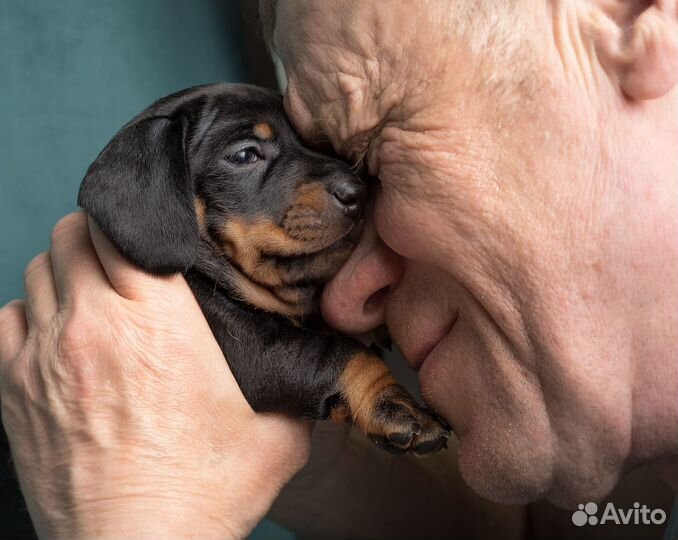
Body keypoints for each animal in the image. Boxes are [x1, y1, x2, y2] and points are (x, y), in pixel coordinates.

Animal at [78, 83, 452, 456]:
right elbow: (342, 351)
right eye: (244, 155)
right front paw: (396, 404)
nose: (358, 193)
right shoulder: (250, 349)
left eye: (317, 143)